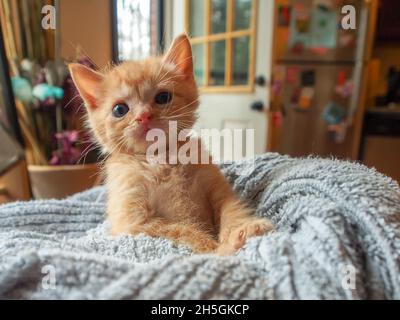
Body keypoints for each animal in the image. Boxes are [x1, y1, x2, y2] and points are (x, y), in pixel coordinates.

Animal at [70, 33, 274, 254]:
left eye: (162, 97)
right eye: (119, 110)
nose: (144, 116)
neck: (161, 159)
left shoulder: (218, 187)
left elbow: (232, 210)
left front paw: (242, 231)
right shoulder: (133, 220)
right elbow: (178, 230)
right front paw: (212, 248)